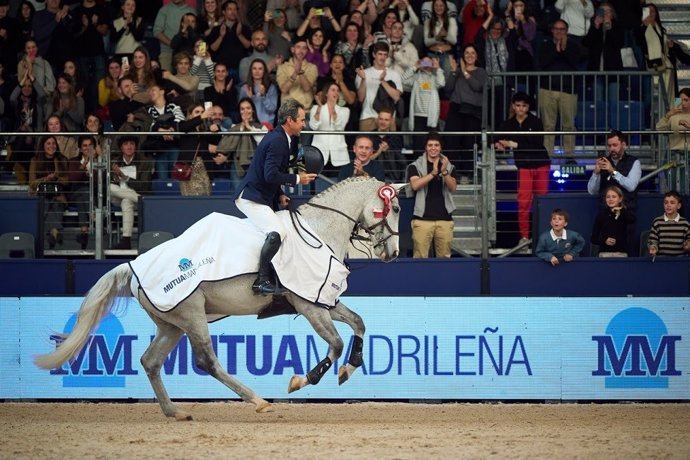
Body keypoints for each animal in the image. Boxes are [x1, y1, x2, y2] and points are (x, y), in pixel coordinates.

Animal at [33, 177, 398, 420]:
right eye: (392, 207)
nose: (393, 254)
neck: (318, 231)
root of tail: (133, 266)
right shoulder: (309, 305)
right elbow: (335, 344)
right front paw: (302, 380)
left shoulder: (324, 302)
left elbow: (359, 324)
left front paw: (349, 368)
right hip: (192, 315)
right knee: (207, 362)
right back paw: (257, 401)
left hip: (172, 324)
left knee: (151, 361)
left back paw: (175, 412)